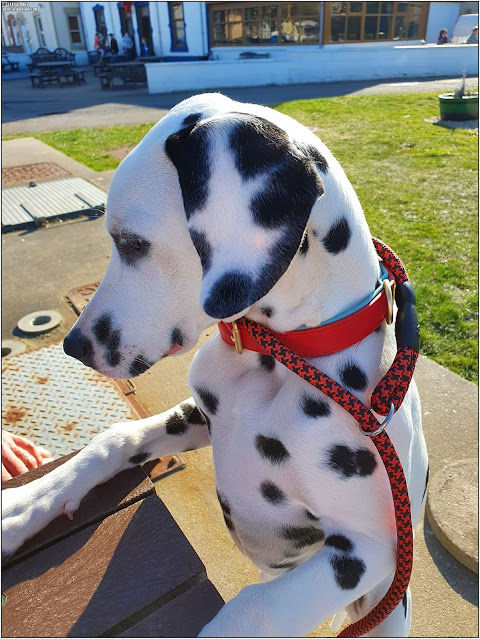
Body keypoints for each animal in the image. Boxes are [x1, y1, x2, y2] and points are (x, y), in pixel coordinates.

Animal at [0, 92, 428, 636]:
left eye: (133, 243)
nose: (74, 347)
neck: (283, 358)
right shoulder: (199, 417)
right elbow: (115, 438)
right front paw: (20, 508)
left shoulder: (368, 549)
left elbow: (252, 608)